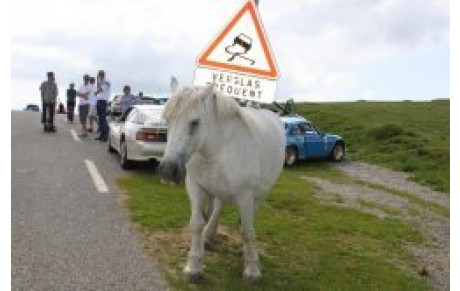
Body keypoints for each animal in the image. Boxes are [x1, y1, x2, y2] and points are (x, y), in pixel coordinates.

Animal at [160, 77, 286, 282]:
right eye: (167, 119)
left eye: (195, 122)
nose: (167, 170)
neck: (218, 149)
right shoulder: (195, 187)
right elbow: (196, 224)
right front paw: (193, 267)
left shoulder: (245, 195)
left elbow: (247, 231)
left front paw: (252, 270)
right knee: (218, 208)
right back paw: (209, 235)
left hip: (259, 195)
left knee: (248, 219)